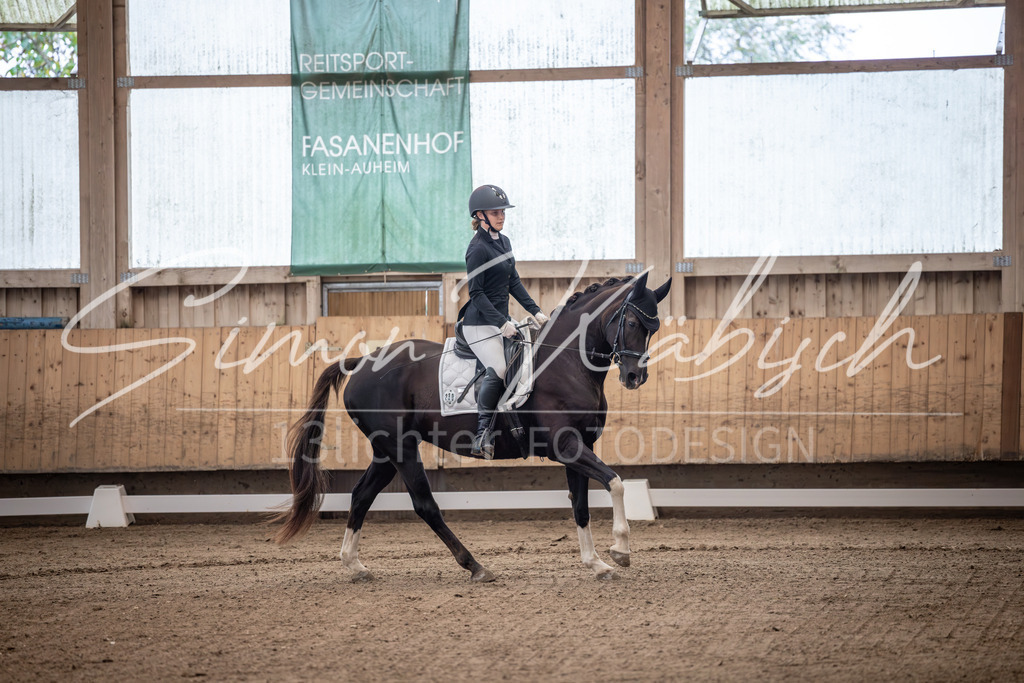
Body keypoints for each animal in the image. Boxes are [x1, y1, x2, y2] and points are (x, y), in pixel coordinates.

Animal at [274, 272, 671, 581]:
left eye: (654, 329)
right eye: (632, 324)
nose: (635, 377)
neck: (564, 362)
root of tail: (360, 363)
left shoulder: (580, 447)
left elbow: (582, 506)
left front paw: (596, 563)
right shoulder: (566, 446)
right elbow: (615, 482)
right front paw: (620, 549)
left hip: (386, 452)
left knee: (361, 495)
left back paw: (354, 565)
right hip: (401, 448)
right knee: (424, 504)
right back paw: (475, 566)